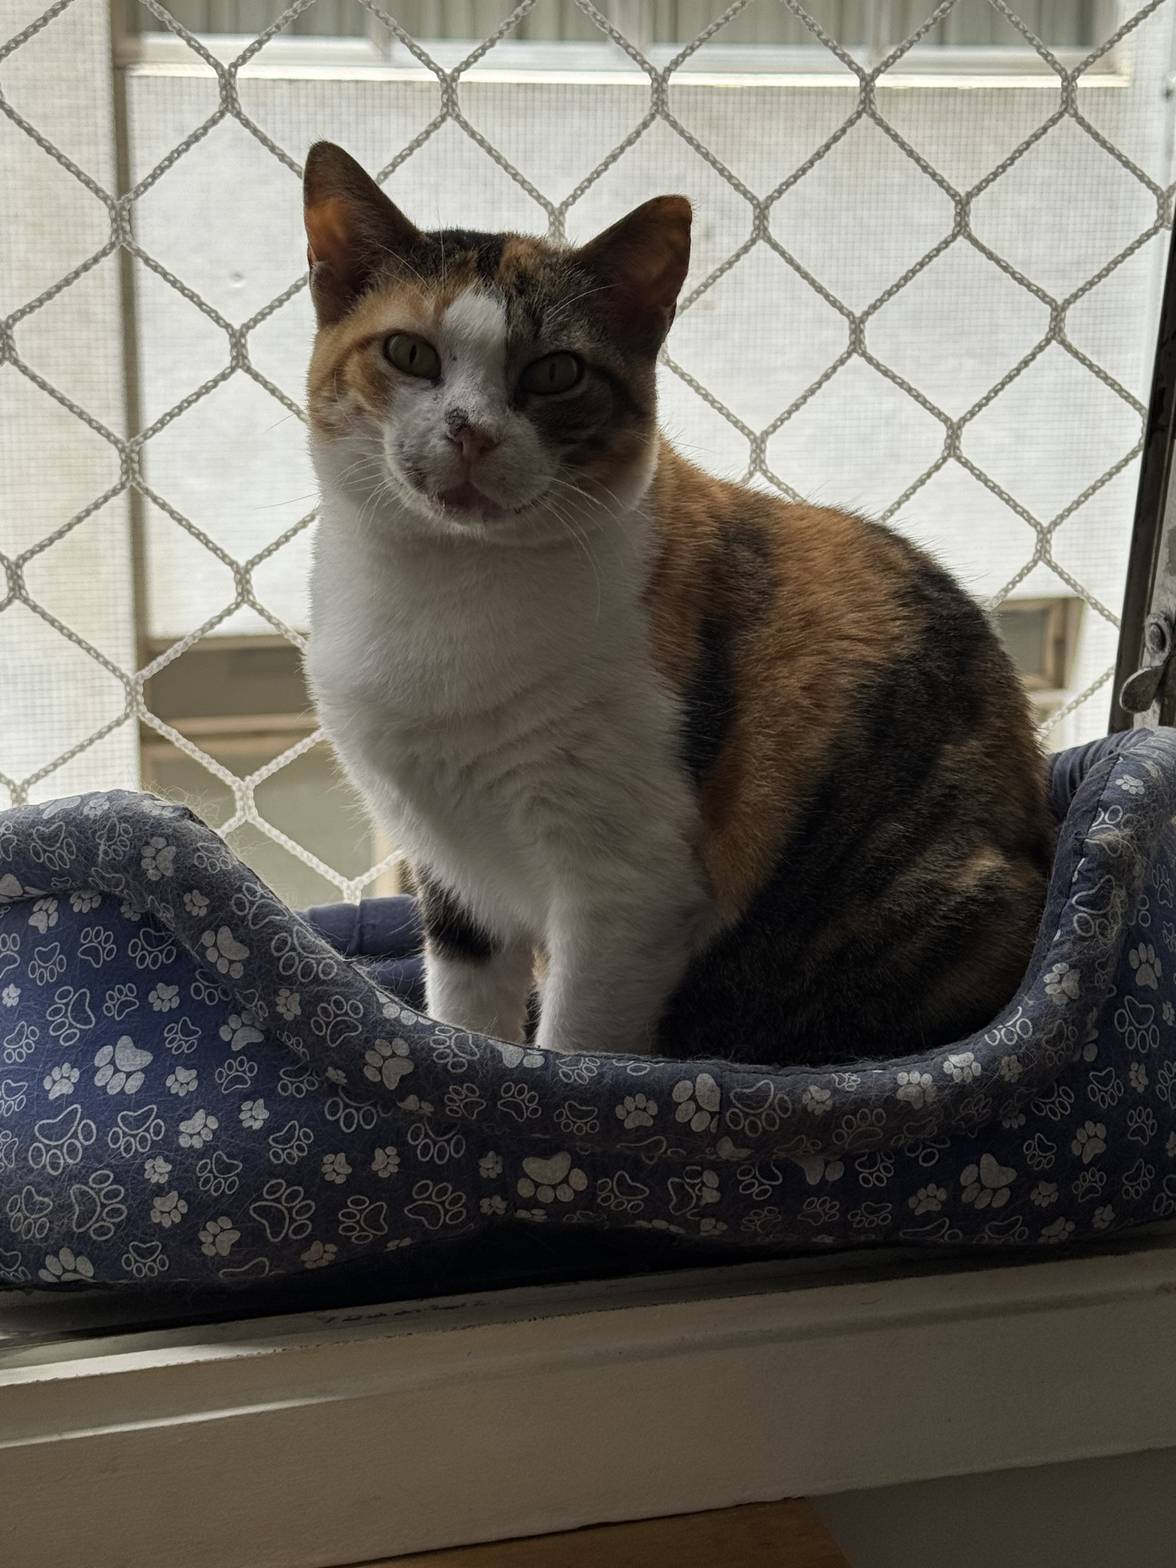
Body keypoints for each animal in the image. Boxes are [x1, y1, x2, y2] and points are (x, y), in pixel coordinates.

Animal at [302, 139, 1055, 1068]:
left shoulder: (625, 889)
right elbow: (468, 1021)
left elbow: (575, 1047)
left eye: (556, 372)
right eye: (409, 353)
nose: (469, 430)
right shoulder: (452, 878)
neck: (443, 587)